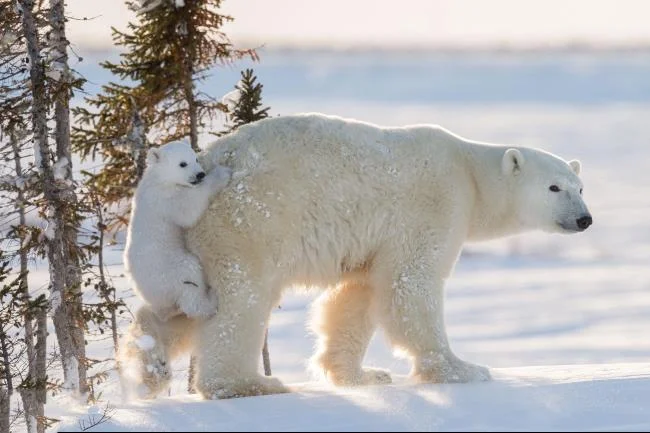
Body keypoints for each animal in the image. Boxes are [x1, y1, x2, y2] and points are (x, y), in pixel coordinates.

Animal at [123, 140, 231, 322]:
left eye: (195, 158)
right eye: (182, 164)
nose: (200, 174)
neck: (158, 179)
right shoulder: (165, 199)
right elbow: (189, 209)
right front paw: (222, 173)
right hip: (170, 269)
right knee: (190, 279)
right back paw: (211, 299)